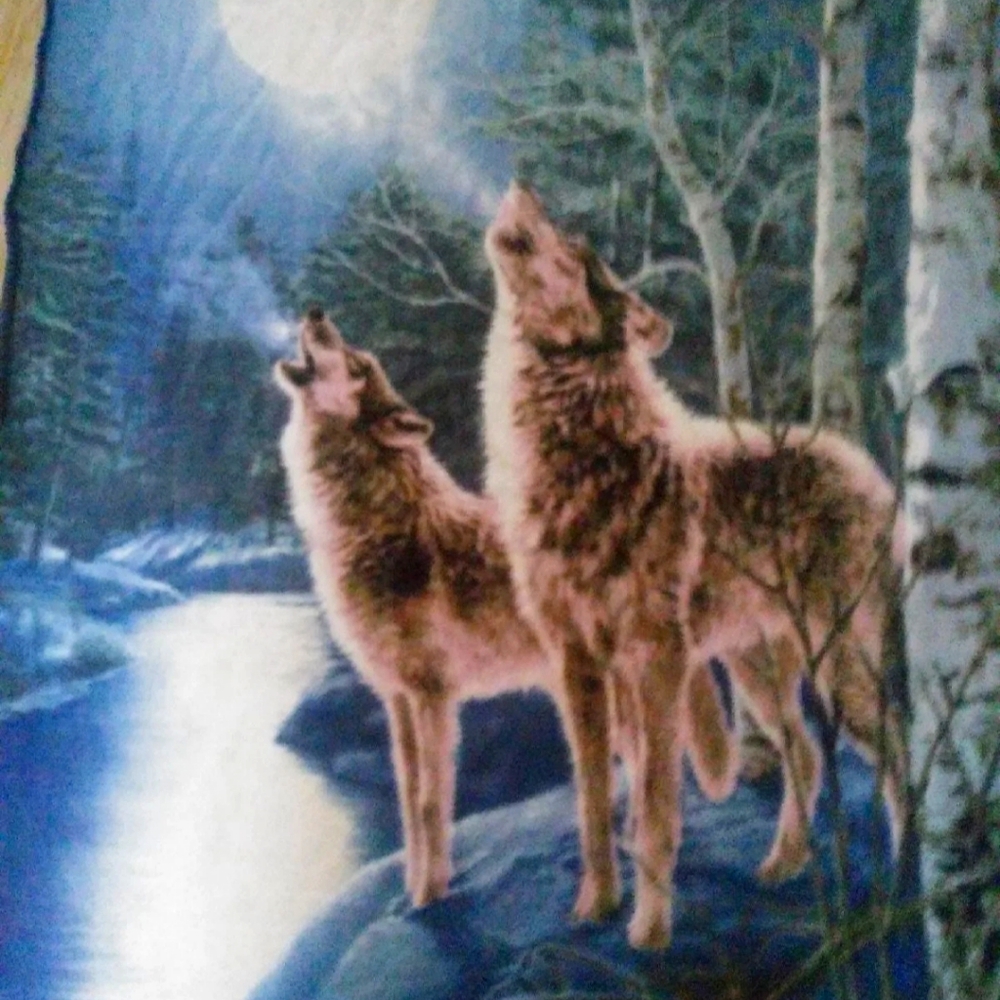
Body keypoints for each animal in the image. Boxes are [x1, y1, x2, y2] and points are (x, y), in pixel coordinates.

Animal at [274, 308, 737, 908]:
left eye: (355, 364)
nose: (315, 312)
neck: (378, 528)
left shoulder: (433, 696)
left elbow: (431, 803)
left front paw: (429, 896)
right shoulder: (396, 700)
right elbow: (407, 806)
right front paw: (412, 888)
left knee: (648, 764)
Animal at [480, 183, 909, 949]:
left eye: (575, 248)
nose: (520, 186)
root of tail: (868, 472)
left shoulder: (658, 661)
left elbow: (656, 809)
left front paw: (648, 932)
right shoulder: (578, 668)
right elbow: (594, 805)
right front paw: (595, 906)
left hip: (836, 667)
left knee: (902, 755)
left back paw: (909, 885)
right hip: (756, 669)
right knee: (805, 754)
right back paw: (784, 864)